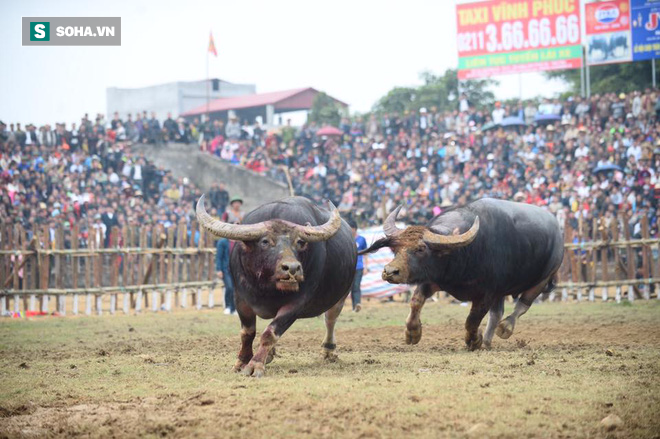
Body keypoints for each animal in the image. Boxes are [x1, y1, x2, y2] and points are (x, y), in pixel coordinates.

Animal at [196, 196, 356, 378]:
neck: (266, 288)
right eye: (265, 241)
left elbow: (270, 333)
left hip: (341, 296)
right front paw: (242, 362)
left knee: (330, 319)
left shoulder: (297, 303)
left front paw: (255, 364)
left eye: (299, 242)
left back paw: (328, 350)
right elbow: (247, 332)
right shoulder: (240, 299)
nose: (293, 268)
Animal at [360, 199, 564, 350]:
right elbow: (416, 301)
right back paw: (487, 342)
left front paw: (474, 340)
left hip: (544, 278)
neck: (465, 253)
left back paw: (504, 328)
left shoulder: (487, 293)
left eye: (421, 249)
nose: (390, 271)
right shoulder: (434, 279)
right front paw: (413, 332)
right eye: (395, 249)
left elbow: (472, 320)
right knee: (497, 313)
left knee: (522, 305)